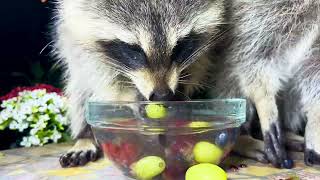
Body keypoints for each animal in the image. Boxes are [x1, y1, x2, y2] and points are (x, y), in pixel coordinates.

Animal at [52, 0, 226, 167]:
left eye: (179, 46)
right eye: (135, 50)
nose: (162, 95)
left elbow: (201, 62)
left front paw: (182, 91)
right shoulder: (77, 20)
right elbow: (98, 71)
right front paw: (132, 97)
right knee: (80, 89)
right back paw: (84, 135)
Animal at [212, 0, 320, 168]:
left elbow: (313, 71)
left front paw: (316, 121)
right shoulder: (258, 12)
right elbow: (252, 53)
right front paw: (264, 101)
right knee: (230, 75)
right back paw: (241, 136)